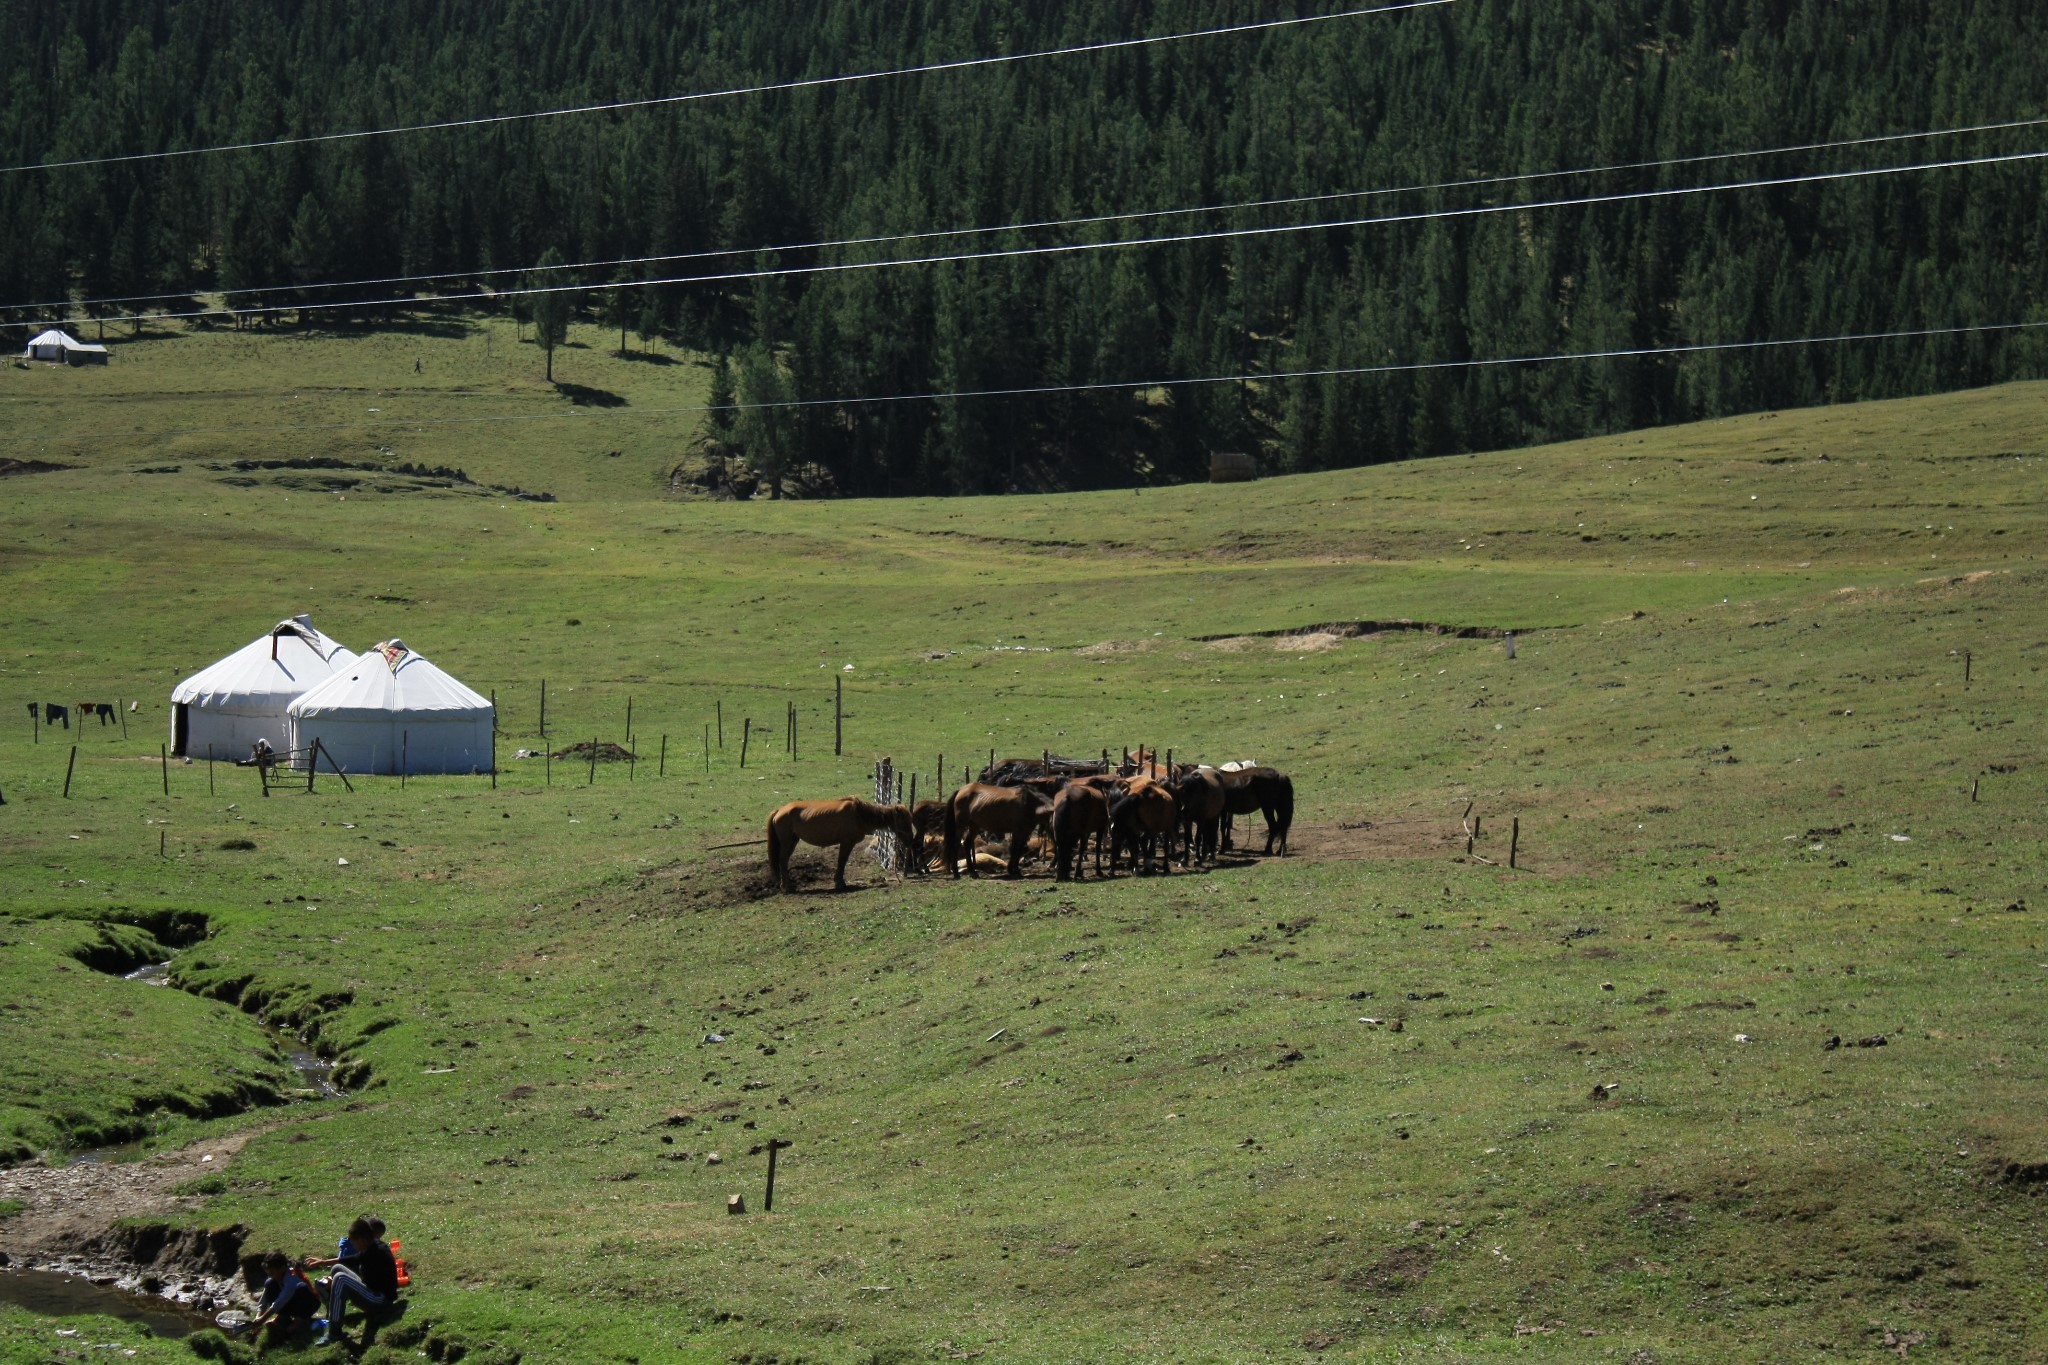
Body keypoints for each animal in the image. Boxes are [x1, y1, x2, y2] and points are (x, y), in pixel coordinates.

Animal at [770, 794, 917, 892]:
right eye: (903, 821)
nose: (911, 840)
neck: (858, 814)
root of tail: (779, 810)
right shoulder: (847, 842)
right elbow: (842, 861)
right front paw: (840, 883)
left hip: (793, 840)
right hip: (788, 842)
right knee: (782, 860)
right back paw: (787, 887)